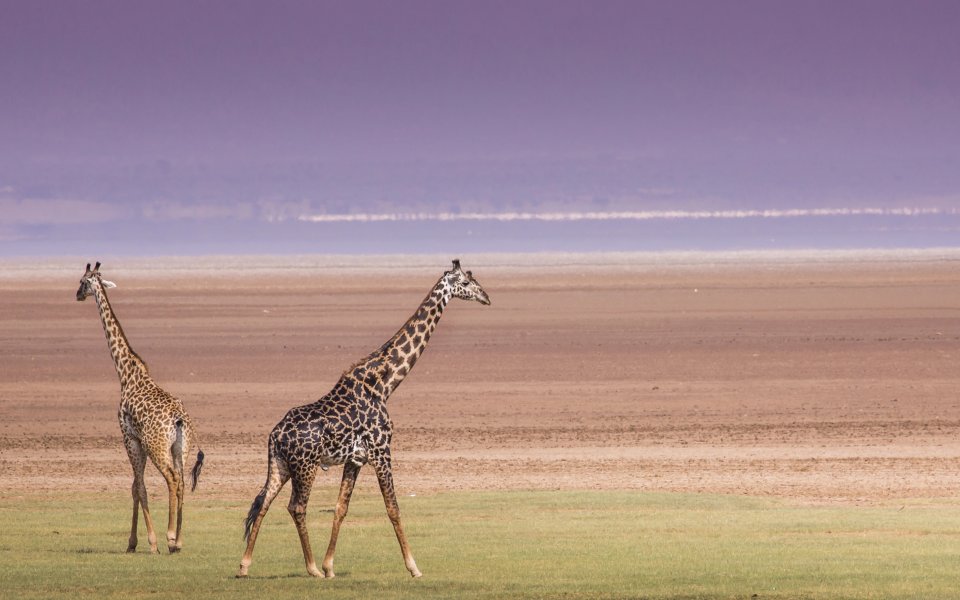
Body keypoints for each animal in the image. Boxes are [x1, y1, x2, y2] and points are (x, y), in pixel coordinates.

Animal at [76, 262, 204, 554]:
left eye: (82, 281)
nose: (77, 295)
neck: (125, 373)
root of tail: (179, 419)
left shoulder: (129, 437)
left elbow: (140, 487)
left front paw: (149, 542)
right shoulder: (138, 441)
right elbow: (135, 486)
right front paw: (133, 542)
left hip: (156, 446)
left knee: (171, 479)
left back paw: (170, 537)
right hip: (181, 447)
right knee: (181, 481)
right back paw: (179, 540)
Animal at [237, 259, 491, 579]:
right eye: (467, 283)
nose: (487, 297)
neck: (384, 384)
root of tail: (276, 435)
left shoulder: (355, 459)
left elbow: (340, 507)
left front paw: (330, 566)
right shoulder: (382, 451)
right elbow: (393, 508)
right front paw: (414, 567)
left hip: (279, 465)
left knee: (263, 502)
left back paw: (245, 565)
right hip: (305, 466)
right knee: (296, 507)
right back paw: (310, 568)